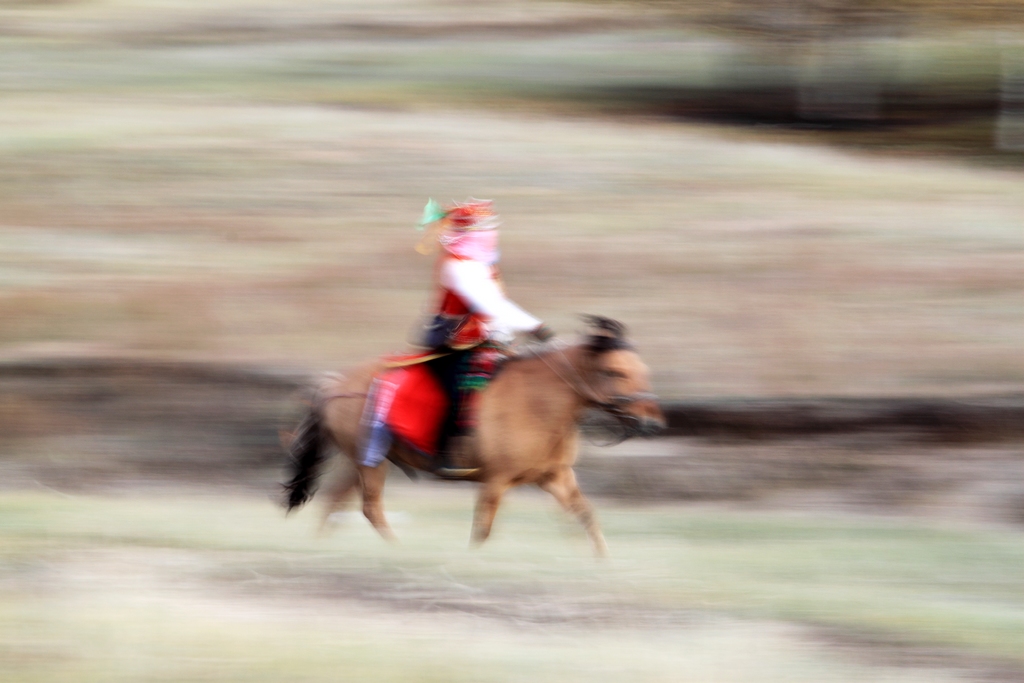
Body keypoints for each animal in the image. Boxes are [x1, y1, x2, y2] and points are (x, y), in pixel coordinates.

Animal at [280, 315, 663, 557]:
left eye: (642, 370)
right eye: (615, 372)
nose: (651, 423)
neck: (539, 402)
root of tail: (335, 384)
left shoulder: (555, 476)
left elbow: (585, 515)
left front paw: (603, 561)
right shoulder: (496, 480)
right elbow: (484, 527)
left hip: (359, 460)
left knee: (334, 502)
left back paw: (321, 546)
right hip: (371, 462)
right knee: (370, 507)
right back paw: (399, 549)